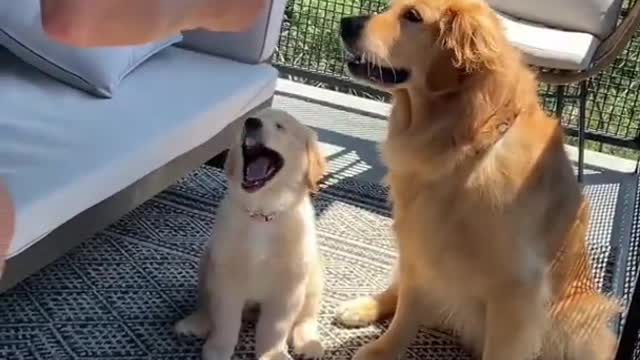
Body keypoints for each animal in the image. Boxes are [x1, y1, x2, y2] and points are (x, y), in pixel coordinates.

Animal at [174, 109, 328, 360]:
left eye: (280, 127)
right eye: (253, 117)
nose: (251, 122)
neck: (262, 213)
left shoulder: (287, 288)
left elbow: (275, 327)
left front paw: (272, 354)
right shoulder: (226, 278)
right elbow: (226, 320)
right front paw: (218, 349)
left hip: (313, 276)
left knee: (306, 317)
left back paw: (309, 344)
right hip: (208, 262)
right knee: (207, 305)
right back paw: (196, 323)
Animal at [336, 0, 620, 360]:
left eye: (412, 16)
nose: (345, 23)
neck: (463, 148)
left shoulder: (516, 289)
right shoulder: (419, 244)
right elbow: (404, 316)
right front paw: (382, 349)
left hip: (578, 320)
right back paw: (361, 307)